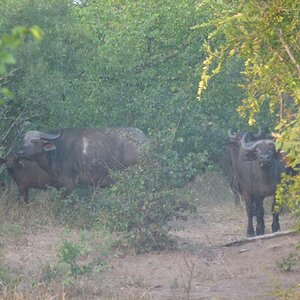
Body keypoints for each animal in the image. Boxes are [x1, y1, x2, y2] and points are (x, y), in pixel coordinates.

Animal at [18, 127, 149, 196]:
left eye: (34, 141)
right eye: (24, 141)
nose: (21, 152)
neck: (57, 151)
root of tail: (146, 141)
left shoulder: (70, 183)